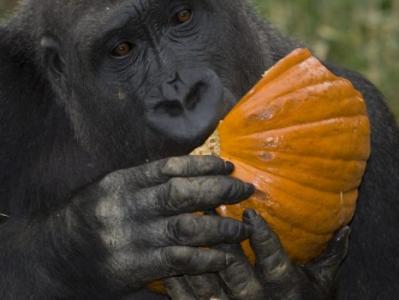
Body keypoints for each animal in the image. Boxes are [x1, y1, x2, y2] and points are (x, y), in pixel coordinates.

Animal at [0, 0, 399, 300]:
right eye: (122, 48)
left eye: (182, 17)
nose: (181, 97)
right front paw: (101, 236)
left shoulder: (374, 130)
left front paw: (278, 289)